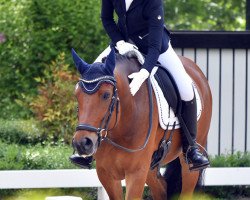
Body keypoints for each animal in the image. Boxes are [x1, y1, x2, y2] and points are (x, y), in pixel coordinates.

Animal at [71, 48, 212, 200]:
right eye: (76, 95)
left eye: (106, 95)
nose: (82, 143)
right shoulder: (106, 174)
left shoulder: (136, 173)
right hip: (151, 166)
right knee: (161, 188)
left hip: (187, 165)